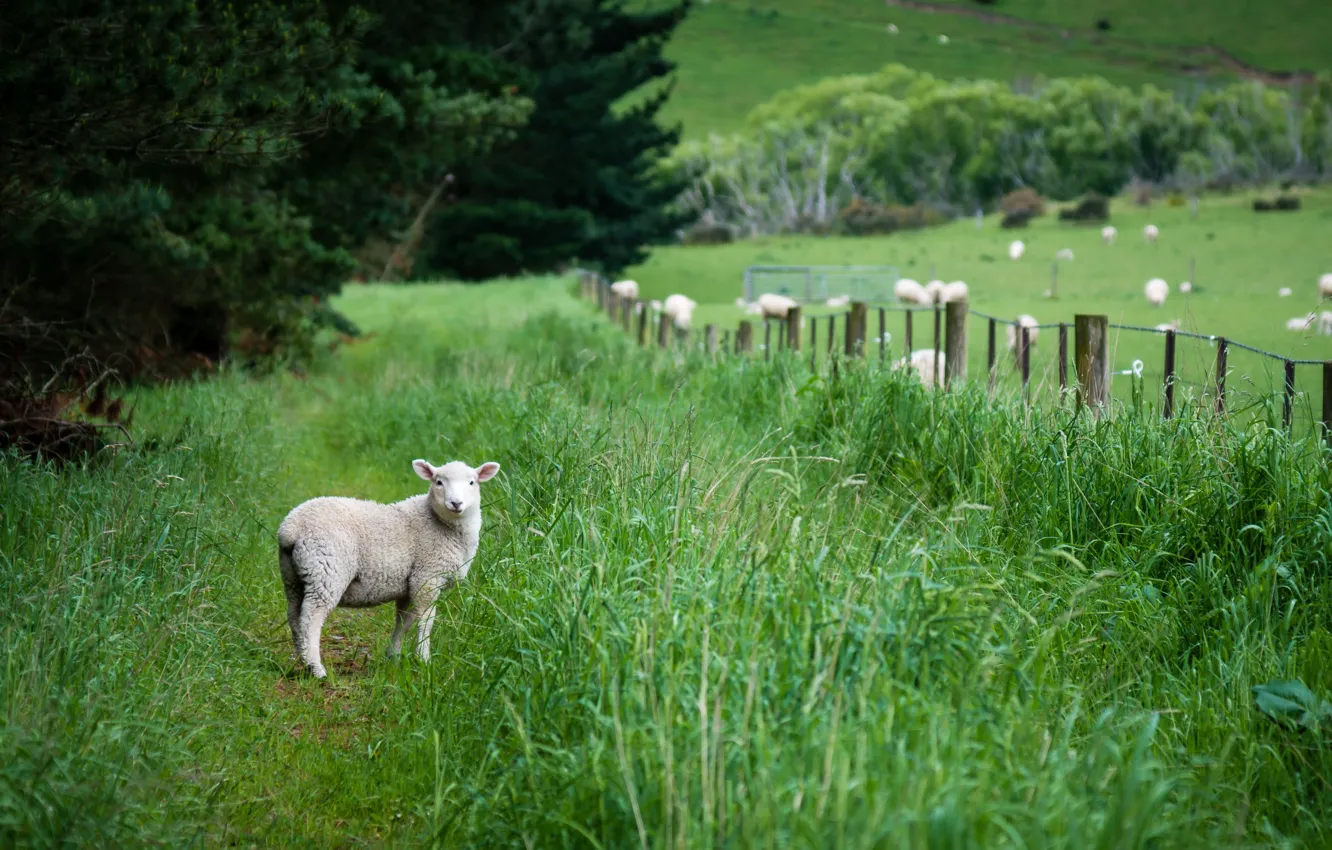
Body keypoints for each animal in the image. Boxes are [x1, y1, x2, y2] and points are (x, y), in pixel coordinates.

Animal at [278, 458, 501, 679]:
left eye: (472, 482)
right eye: (438, 482)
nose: (456, 503)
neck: (442, 525)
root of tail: (291, 528)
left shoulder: (409, 586)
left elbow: (404, 622)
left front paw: (393, 656)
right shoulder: (426, 577)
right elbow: (426, 620)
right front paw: (423, 659)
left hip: (293, 576)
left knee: (294, 615)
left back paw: (302, 658)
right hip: (327, 571)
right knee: (311, 617)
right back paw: (316, 668)